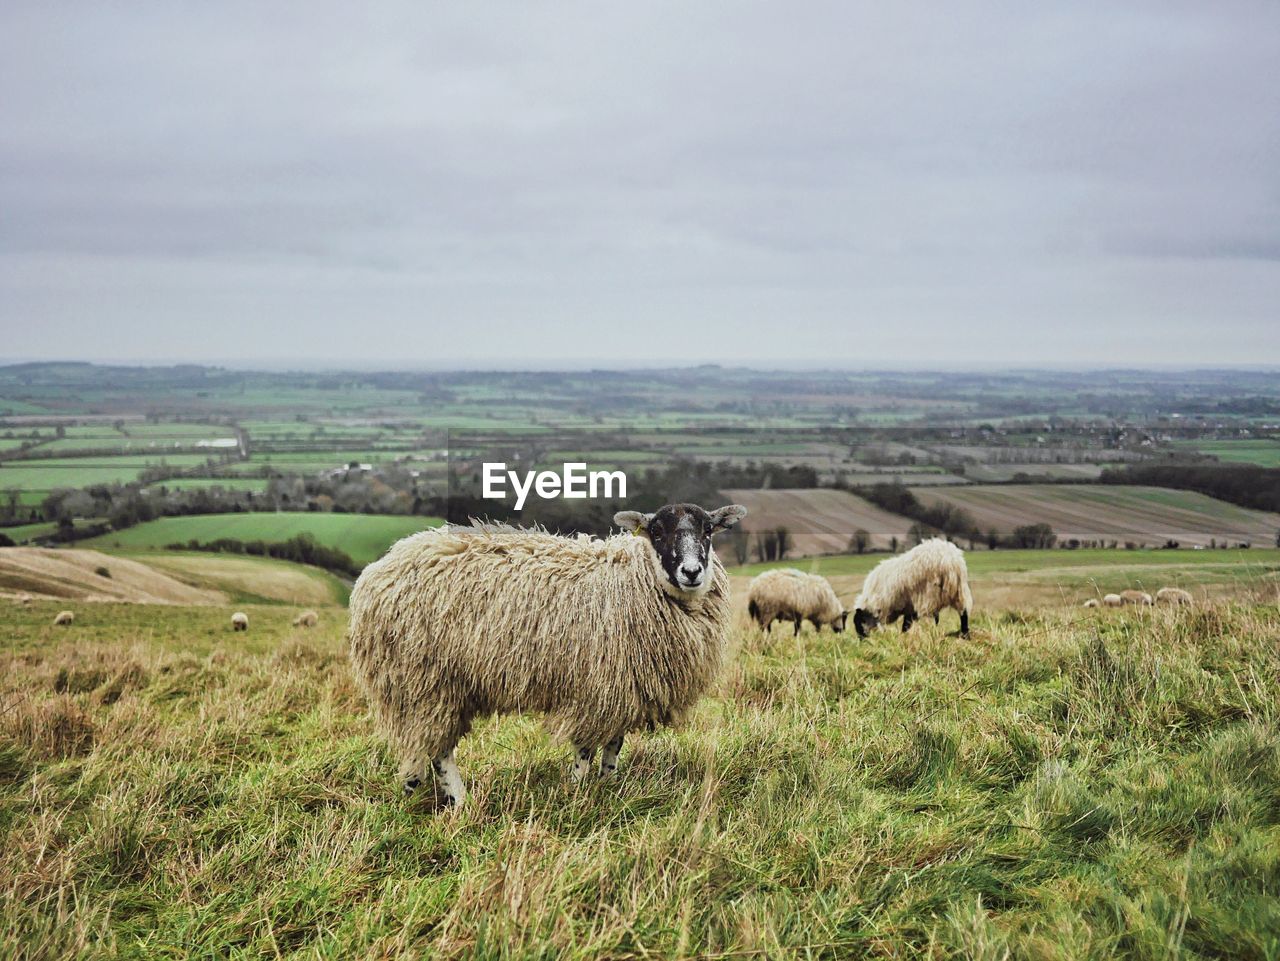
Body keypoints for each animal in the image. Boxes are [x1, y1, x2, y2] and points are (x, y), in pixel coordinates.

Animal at [350, 499, 747, 808]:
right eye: (658, 532)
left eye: (708, 531)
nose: (691, 572)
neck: (636, 579)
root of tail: (379, 568)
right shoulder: (595, 688)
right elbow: (585, 749)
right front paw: (576, 792)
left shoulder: (624, 687)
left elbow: (614, 744)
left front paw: (608, 785)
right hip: (425, 681)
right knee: (438, 748)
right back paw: (460, 801)